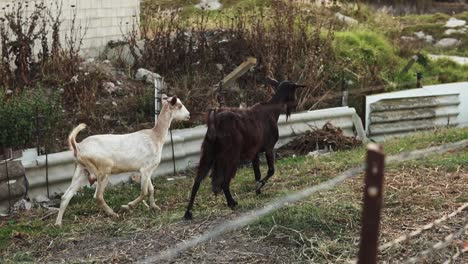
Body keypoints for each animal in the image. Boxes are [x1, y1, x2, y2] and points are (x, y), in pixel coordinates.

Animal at [55, 96, 191, 226]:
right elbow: (144, 192)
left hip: (81, 171)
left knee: (66, 196)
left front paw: (154, 207)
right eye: (179, 105)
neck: (155, 137)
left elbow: (151, 189)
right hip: (103, 170)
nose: (189, 115)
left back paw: (58, 224)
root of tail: (77, 146)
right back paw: (114, 214)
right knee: (97, 196)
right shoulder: (145, 169)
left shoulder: (148, 170)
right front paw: (127, 206)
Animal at [183, 79, 304, 220]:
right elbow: (271, 171)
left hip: (208, 153)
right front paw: (259, 186)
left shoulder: (255, 153)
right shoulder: (269, 148)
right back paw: (232, 203)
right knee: (224, 181)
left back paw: (188, 212)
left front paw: (258, 190)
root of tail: (214, 121)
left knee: (197, 181)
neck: (272, 110)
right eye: (294, 90)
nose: (296, 104)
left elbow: (257, 173)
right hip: (231, 155)